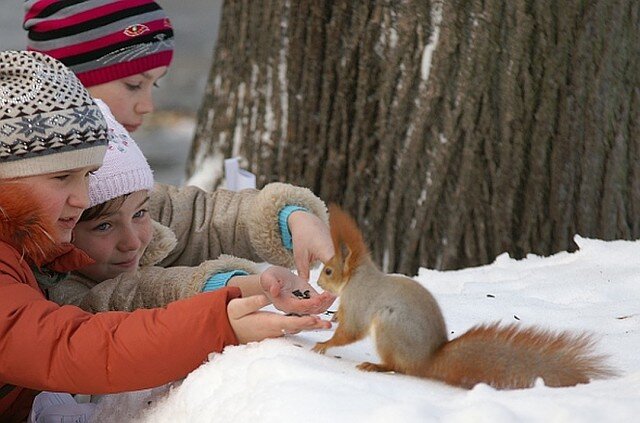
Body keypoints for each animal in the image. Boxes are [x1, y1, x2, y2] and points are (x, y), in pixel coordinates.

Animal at [314, 205, 616, 390]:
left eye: (328, 270)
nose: (317, 282)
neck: (356, 278)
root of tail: (429, 359)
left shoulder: (360, 301)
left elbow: (351, 330)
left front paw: (324, 344)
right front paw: (333, 318)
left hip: (390, 327)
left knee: (398, 367)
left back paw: (374, 365)